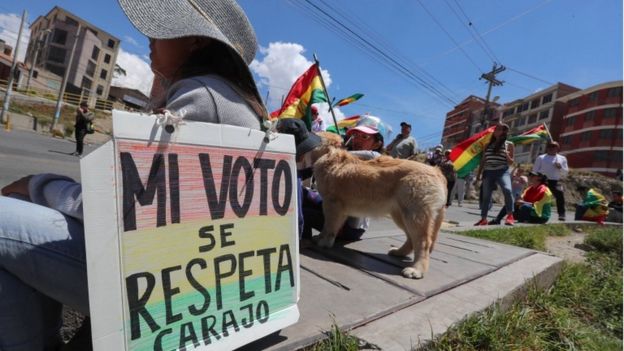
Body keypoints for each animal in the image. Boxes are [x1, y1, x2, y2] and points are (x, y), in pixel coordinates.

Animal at [314, 148, 446, 280]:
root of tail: (436, 171)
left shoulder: (331, 204)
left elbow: (329, 227)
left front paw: (324, 242)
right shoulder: (340, 209)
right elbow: (331, 227)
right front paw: (322, 238)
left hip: (413, 215)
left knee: (423, 242)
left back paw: (416, 270)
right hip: (401, 215)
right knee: (411, 240)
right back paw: (399, 252)